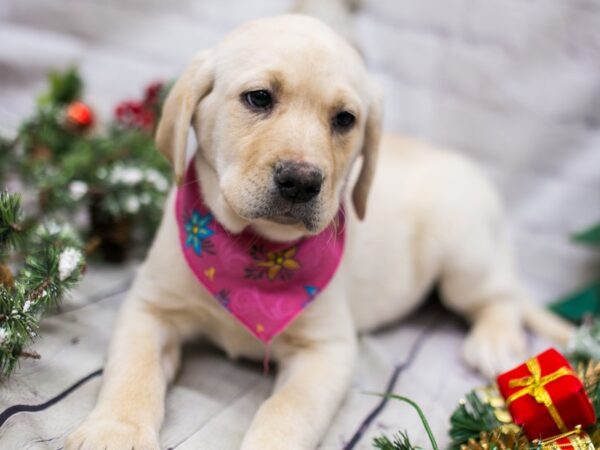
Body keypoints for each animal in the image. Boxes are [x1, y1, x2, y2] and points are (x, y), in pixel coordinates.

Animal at [65, 14, 572, 450]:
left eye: (345, 119)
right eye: (258, 98)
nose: (302, 181)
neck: (259, 250)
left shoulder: (327, 352)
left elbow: (286, 410)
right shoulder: (149, 308)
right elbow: (132, 372)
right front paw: (115, 430)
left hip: (463, 256)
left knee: (499, 297)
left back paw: (495, 342)